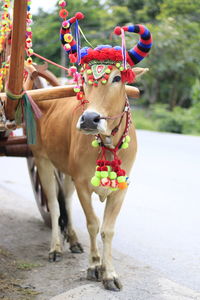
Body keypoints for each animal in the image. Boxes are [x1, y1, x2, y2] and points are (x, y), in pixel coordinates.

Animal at [30, 18, 152, 290]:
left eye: (117, 77)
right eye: (85, 78)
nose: (89, 119)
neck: (107, 144)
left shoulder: (121, 188)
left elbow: (108, 229)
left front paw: (110, 273)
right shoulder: (83, 184)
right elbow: (93, 223)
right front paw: (95, 266)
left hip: (65, 171)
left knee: (65, 200)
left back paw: (74, 241)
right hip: (42, 159)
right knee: (54, 205)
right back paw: (55, 248)